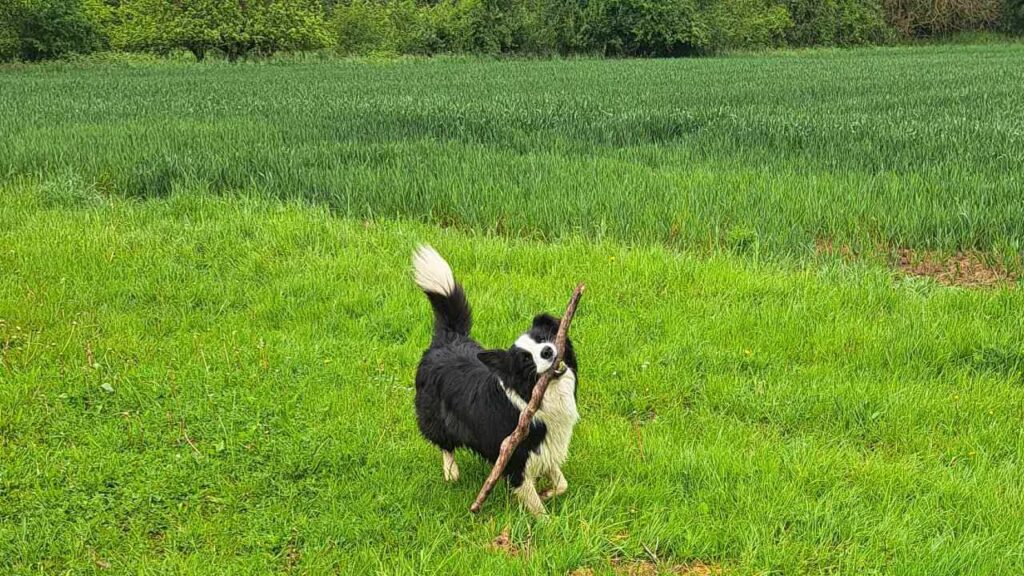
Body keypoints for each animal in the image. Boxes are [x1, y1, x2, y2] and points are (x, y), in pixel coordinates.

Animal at [411, 243, 581, 512]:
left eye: (544, 338)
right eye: (525, 359)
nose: (547, 352)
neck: (539, 398)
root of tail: (448, 339)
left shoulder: (546, 449)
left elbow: (561, 483)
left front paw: (548, 492)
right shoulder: (516, 461)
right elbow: (536, 507)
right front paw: (547, 518)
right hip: (436, 417)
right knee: (443, 443)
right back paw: (451, 471)